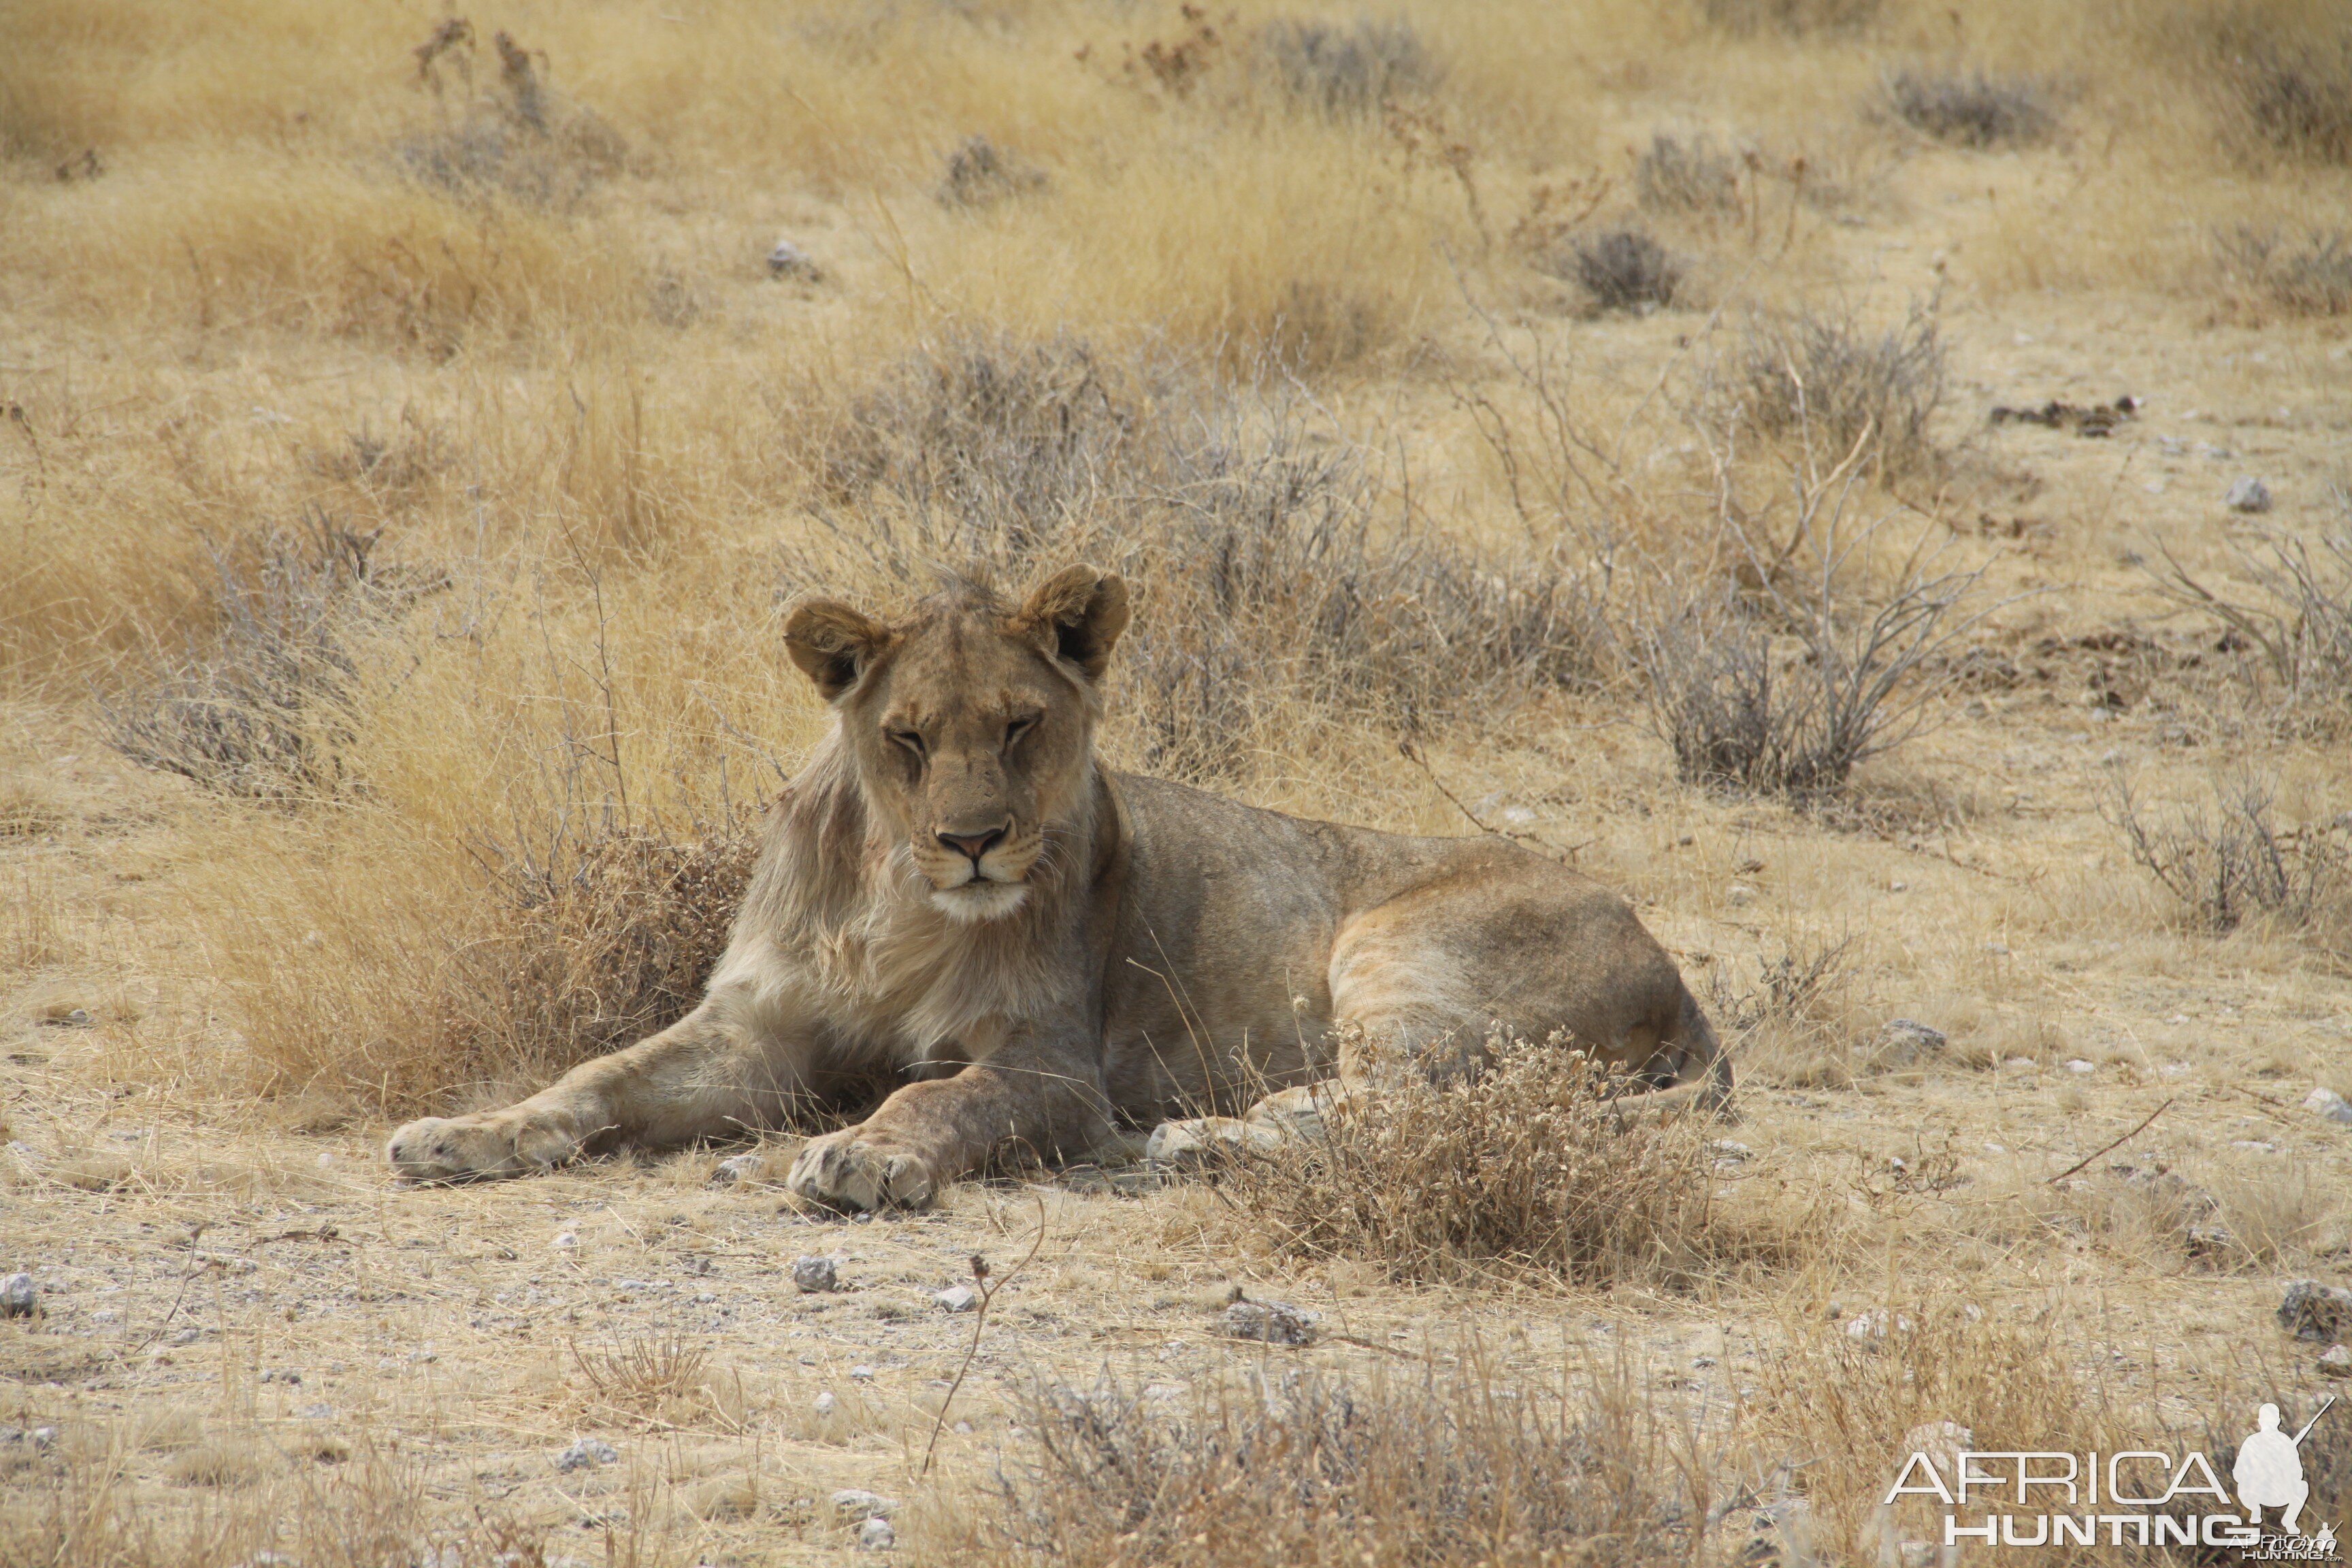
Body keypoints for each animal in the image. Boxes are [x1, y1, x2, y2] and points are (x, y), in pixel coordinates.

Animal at [390, 571, 1731, 1213]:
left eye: (1020, 725)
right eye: (909, 737)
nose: (976, 840)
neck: (900, 898)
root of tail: (1672, 966)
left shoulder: (1053, 1066)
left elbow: (938, 1099)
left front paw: (859, 1155)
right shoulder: (755, 1031)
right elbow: (597, 1075)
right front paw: (464, 1132)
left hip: (1396, 944)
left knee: (1431, 1105)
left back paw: (1202, 1138)